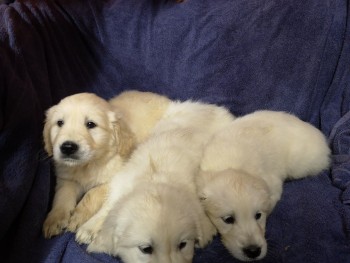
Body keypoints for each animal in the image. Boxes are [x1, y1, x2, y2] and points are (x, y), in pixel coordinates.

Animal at [41, 93, 134, 239]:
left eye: (91, 124)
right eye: (60, 123)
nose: (68, 147)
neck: (86, 165)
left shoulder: (113, 180)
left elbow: (92, 193)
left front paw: (78, 217)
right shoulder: (66, 178)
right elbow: (62, 196)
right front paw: (55, 219)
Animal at [75, 94, 237, 262]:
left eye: (182, 245)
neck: (154, 179)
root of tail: (215, 108)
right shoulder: (121, 184)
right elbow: (108, 208)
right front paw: (88, 228)